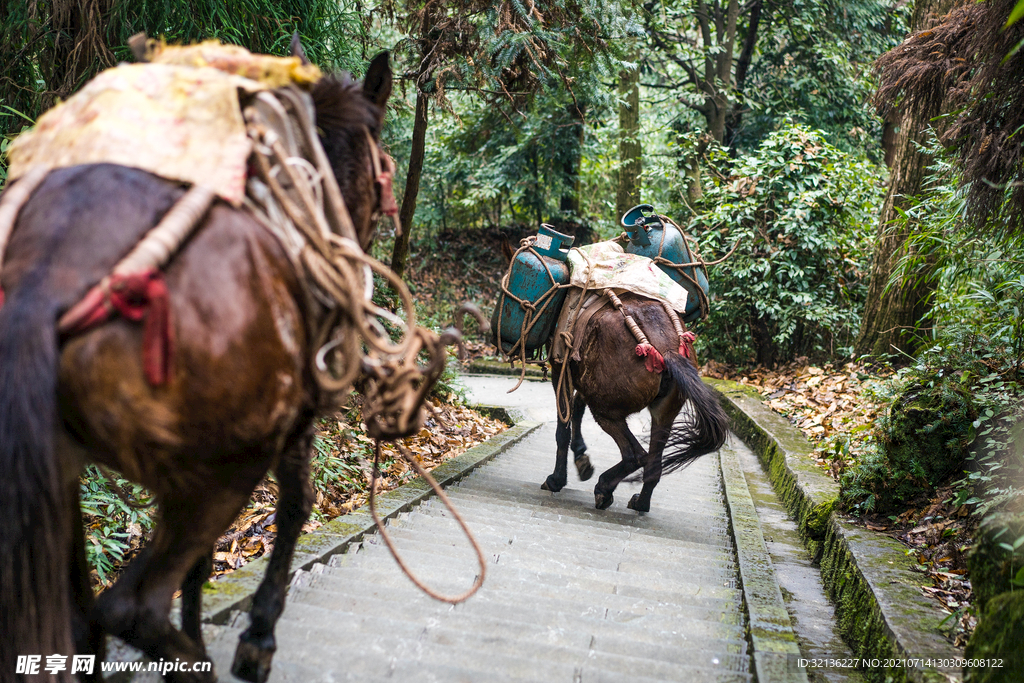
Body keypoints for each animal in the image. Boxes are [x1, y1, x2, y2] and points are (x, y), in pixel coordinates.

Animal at [2, 48, 405, 683]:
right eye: (383, 166)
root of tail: (43, 278)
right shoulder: (292, 421)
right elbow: (296, 504)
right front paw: (258, 637)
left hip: (60, 470)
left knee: (80, 622)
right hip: (224, 466)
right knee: (130, 606)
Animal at [544, 292, 729, 511]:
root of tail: (667, 350)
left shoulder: (561, 369)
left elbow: (563, 428)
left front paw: (557, 479)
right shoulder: (582, 380)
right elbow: (577, 408)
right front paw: (581, 458)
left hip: (605, 410)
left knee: (636, 455)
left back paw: (603, 488)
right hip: (664, 414)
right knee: (653, 467)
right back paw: (640, 503)